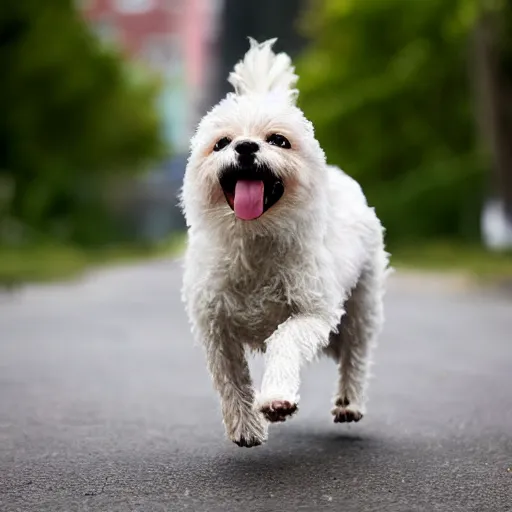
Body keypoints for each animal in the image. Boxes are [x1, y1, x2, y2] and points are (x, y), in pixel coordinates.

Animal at [180, 39, 388, 448]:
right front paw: (246, 426)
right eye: (221, 143)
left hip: (361, 306)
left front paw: (276, 400)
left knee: (355, 354)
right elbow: (231, 379)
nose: (245, 147)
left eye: (278, 140)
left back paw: (350, 401)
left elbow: (285, 341)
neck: (254, 242)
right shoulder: (215, 326)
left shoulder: (313, 313)